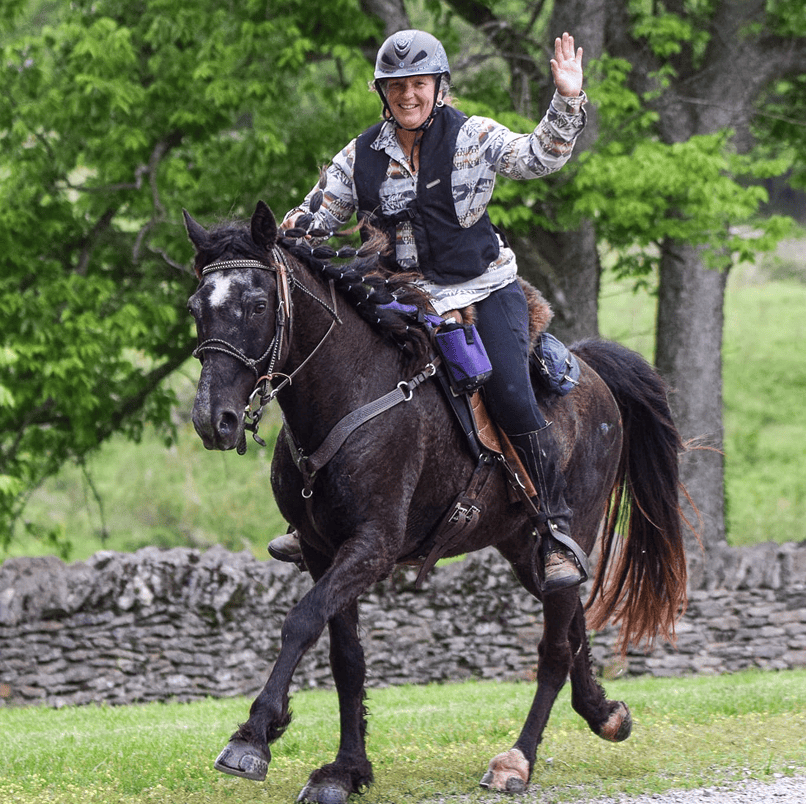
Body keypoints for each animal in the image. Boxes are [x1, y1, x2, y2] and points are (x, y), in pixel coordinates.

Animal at [183, 200, 688, 803]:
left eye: (258, 304)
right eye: (195, 307)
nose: (213, 420)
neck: (351, 394)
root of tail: (590, 372)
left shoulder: (371, 548)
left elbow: (301, 622)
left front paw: (255, 734)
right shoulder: (322, 551)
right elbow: (346, 659)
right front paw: (346, 770)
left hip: (572, 533)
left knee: (554, 649)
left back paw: (517, 760)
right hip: (523, 548)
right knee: (572, 625)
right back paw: (605, 713)